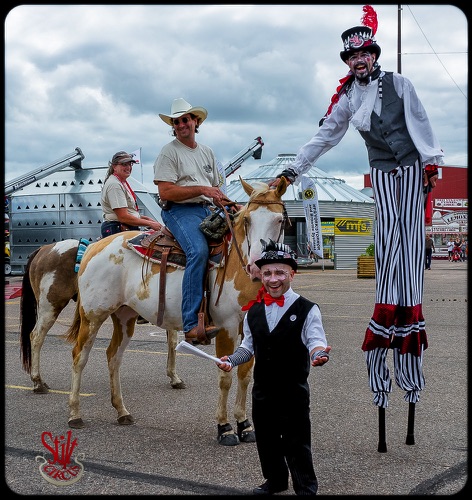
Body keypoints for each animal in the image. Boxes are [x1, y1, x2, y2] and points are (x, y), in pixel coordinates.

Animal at [18, 238, 184, 394]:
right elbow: (172, 342)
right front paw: (174, 377)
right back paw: (38, 382)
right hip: (50, 307)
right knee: (36, 337)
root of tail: (45, 249)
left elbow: (172, 342)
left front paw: (174, 377)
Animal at [64, 177, 290, 446]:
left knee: (113, 357)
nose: (255, 265)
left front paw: (244, 425)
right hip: (92, 316)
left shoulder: (250, 329)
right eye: (247, 220)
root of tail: (94, 247)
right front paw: (224, 428)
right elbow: (225, 377)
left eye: (279, 220)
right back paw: (75, 413)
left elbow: (245, 374)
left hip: (124, 316)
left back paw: (122, 411)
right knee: (79, 356)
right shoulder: (225, 327)